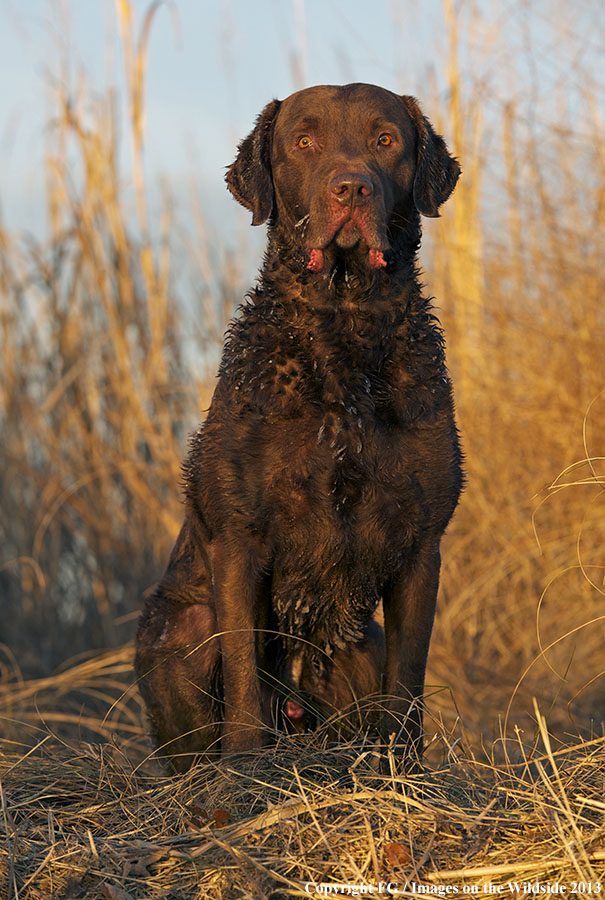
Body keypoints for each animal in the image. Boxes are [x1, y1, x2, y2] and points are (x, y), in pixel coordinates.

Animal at [134, 86, 460, 772]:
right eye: (304, 142)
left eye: (386, 140)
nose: (352, 188)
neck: (345, 327)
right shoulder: (240, 537)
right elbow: (243, 675)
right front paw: (245, 771)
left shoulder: (422, 544)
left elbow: (408, 681)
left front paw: (405, 773)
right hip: (175, 634)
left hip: (358, 647)